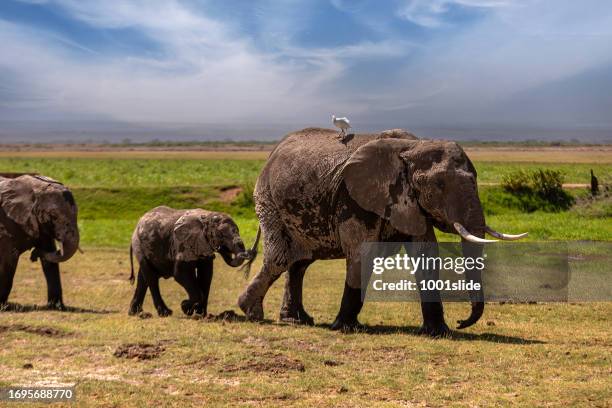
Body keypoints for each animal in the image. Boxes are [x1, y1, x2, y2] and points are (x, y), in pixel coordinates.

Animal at [0, 175, 80, 310]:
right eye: (53, 215)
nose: (33, 255)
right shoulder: (6, 225)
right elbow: (9, 259)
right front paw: (3, 307)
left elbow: (50, 259)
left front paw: (56, 307)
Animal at [239, 127, 524, 334]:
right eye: (440, 185)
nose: (462, 322)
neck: (411, 148)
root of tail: (272, 154)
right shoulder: (353, 197)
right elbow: (361, 255)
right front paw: (346, 328)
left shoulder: (411, 202)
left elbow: (426, 254)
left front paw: (438, 332)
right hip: (268, 200)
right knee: (280, 258)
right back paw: (251, 312)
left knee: (299, 263)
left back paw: (296, 320)